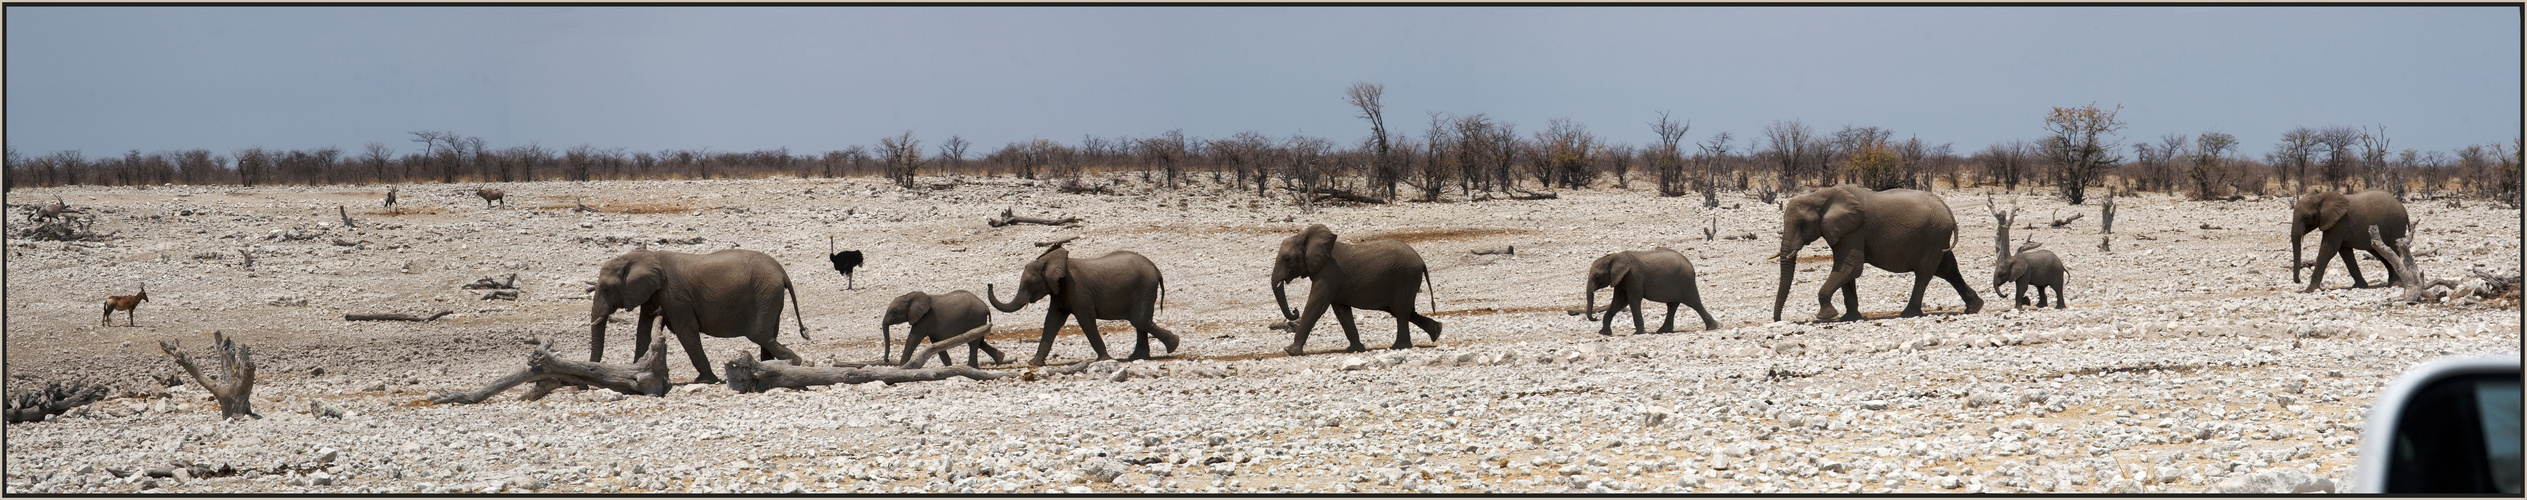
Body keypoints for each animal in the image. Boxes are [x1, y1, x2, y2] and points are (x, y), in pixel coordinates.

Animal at [583, 247, 803, 383]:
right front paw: (637, 371)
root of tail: (782, 271)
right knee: (767, 336)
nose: (585, 384)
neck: (644, 256)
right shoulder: (653, 293)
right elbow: (643, 329)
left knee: (760, 335)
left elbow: (686, 331)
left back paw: (795, 363)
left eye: (606, 288)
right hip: (769, 296)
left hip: (764, 293)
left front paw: (705, 380)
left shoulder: (674, 295)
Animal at [985, 247, 1182, 366]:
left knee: (1139, 320)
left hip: (1144, 287)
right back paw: (1138, 357)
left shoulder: (1077, 289)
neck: (1051, 260)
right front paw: (1034, 363)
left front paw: (1104, 360)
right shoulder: (1059, 291)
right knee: (1140, 322)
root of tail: (1156, 270)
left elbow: (1086, 321)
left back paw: (1173, 346)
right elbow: (1051, 322)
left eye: (1030, 283)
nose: (989, 284)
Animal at [1263, 224, 1445, 358]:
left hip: (1405, 277)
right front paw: (1355, 349)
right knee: (1403, 310)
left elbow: (1315, 306)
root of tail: (1421, 261)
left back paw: (1399, 347)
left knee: (1400, 311)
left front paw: (1289, 351)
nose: (1295, 310)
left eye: (1287, 259)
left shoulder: (1329, 274)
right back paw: (1436, 331)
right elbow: (1341, 311)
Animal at [1576, 247, 1718, 335]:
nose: (1595, 318)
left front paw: (1638, 333)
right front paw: (1604, 333)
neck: (1614, 256)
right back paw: (1663, 331)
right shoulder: (1621, 278)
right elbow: (1619, 301)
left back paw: (1713, 327)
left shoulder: (1634, 276)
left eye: (1597, 276)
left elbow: (1632, 300)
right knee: (1672, 306)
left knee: (1694, 302)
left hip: (1685, 281)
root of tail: (1691, 265)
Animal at [1768, 183, 1981, 320]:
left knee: (1924, 273)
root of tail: (1947, 208)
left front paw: (1826, 316)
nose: (1778, 320)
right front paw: (1850, 317)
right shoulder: (1845, 231)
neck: (1822, 193)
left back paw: (1909, 313)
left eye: (1803, 224)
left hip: (1934, 234)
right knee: (1948, 269)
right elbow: (1846, 271)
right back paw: (1974, 307)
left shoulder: (1854, 230)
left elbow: (1851, 266)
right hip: (1938, 238)